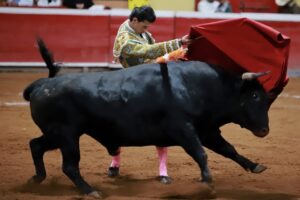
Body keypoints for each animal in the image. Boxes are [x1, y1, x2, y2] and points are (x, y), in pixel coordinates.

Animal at [24, 51, 272, 197]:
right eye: (255, 96)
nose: (264, 130)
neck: (201, 87)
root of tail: (42, 84)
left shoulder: (207, 130)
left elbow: (228, 150)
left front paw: (255, 166)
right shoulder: (184, 129)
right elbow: (201, 154)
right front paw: (208, 184)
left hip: (56, 135)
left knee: (36, 145)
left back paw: (36, 179)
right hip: (66, 135)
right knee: (69, 165)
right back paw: (89, 191)